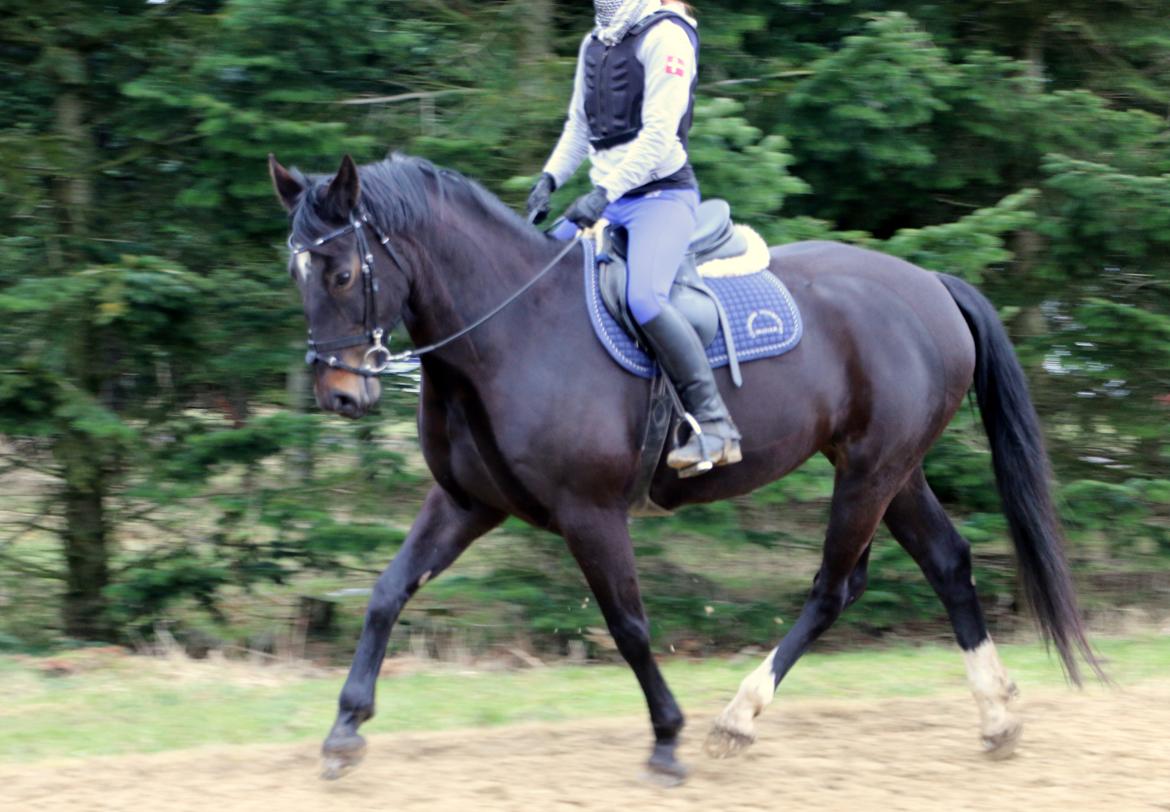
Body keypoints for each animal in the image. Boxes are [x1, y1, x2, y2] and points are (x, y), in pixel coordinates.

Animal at [269, 150, 1099, 781]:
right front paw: (345, 730)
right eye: (297, 275)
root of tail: (931, 284)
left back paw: (737, 719)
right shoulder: (466, 505)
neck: (509, 330)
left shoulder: (591, 513)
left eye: (342, 274)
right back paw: (997, 717)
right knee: (948, 562)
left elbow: (628, 625)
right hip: (892, 470)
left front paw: (667, 736)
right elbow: (386, 593)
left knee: (835, 588)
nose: (339, 394)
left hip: (870, 471)